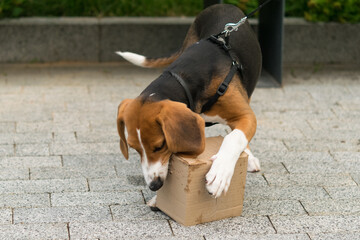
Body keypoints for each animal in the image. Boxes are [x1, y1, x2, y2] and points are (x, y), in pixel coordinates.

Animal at [116, 4, 260, 202]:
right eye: (134, 148)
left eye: (160, 146)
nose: (154, 186)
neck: (183, 79)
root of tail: (224, 5)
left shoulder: (246, 114)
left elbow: (234, 138)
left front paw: (220, 173)